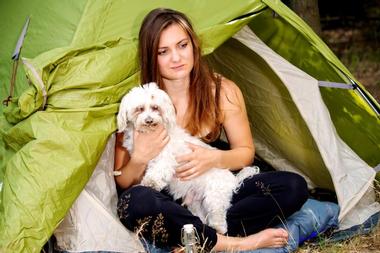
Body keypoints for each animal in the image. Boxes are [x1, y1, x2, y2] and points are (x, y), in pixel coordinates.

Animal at [116, 83, 258, 233]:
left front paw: (151, 183)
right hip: (197, 203)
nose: (149, 120)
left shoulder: (165, 157)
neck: (149, 133)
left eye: (155, 107)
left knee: (219, 216)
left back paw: (218, 228)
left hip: (214, 197)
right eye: (140, 109)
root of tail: (233, 180)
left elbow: (158, 171)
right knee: (201, 218)